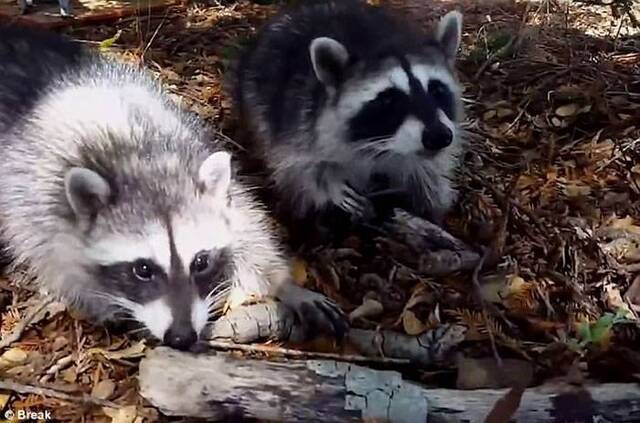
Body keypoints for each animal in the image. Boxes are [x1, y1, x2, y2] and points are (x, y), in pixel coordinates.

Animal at [0, 25, 344, 352]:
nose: (181, 337)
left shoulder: (198, 154)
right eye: (142, 269)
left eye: (201, 262)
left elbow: (247, 227)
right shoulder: (37, 199)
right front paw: (102, 302)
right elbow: (58, 260)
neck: (142, 161)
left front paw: (283, 283)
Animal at [234, 0, 464, 243]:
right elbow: (300, 168)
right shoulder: (296, 122)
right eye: (389, 99)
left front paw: (429, 212)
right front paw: (330, 184)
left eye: (437, 89)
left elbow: (428, 179)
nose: (439, 136)